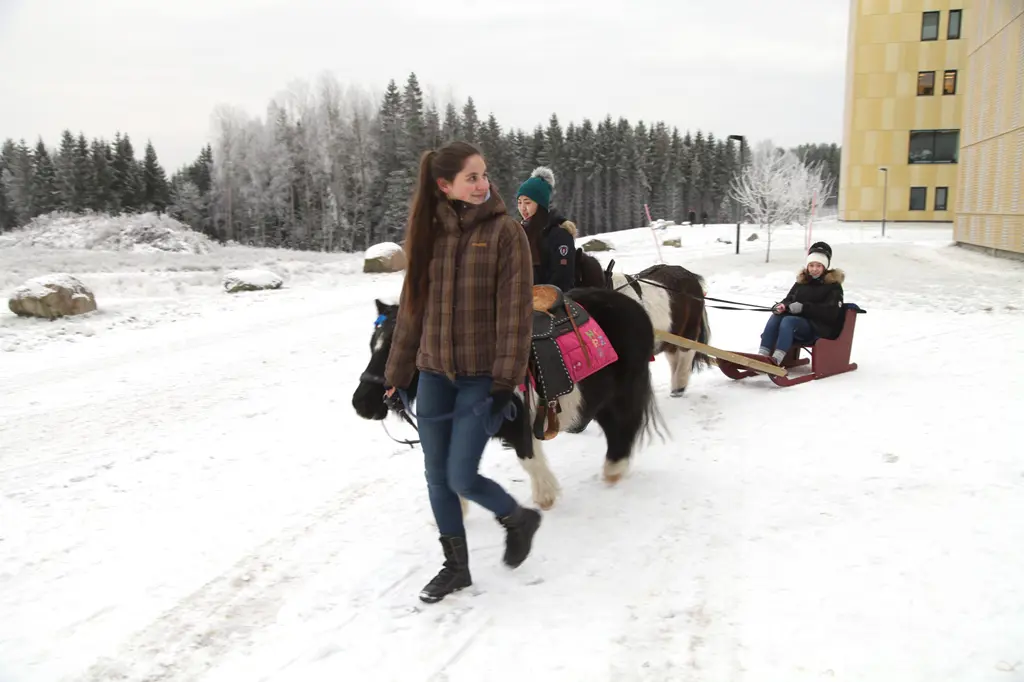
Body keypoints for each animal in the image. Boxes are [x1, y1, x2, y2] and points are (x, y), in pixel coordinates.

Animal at [352, 284, 667, 509]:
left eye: (396, 347)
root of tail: (635, 308)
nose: (361, 403)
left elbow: (528, 458)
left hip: (623, 392)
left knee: (623, 427)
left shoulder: (517, 423)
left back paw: (614, 470)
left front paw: (545, 497)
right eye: (373, 344)